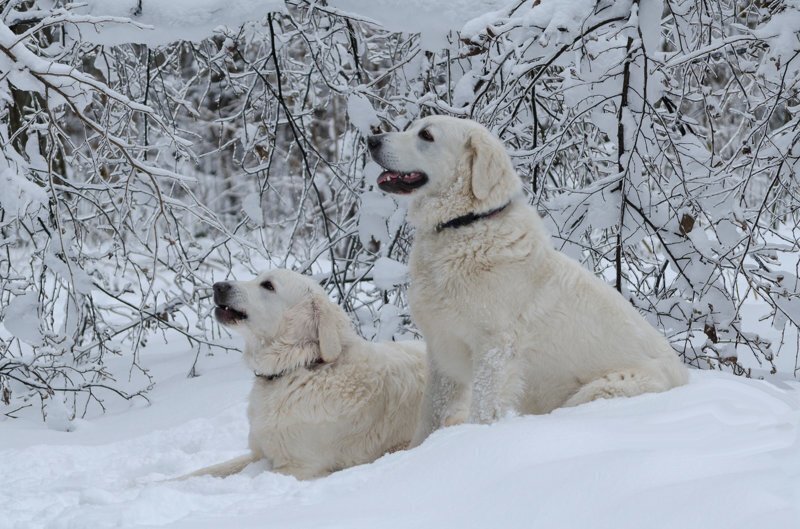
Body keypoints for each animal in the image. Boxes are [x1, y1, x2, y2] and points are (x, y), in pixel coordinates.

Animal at [184, 268, 428, 478]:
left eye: (268, 285)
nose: (217, 286)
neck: (298, 366)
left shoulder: (300, 467)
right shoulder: (258, 452)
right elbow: (203, 472)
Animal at [368, 115, 688, 446]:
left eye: (426, 135)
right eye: (413, 127)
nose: (372, 140)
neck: (465, 224)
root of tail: (684, 376)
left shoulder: (494, 347)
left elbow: (482, 408)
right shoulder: (442, 349)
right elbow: (429, 415)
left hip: (598, 390)